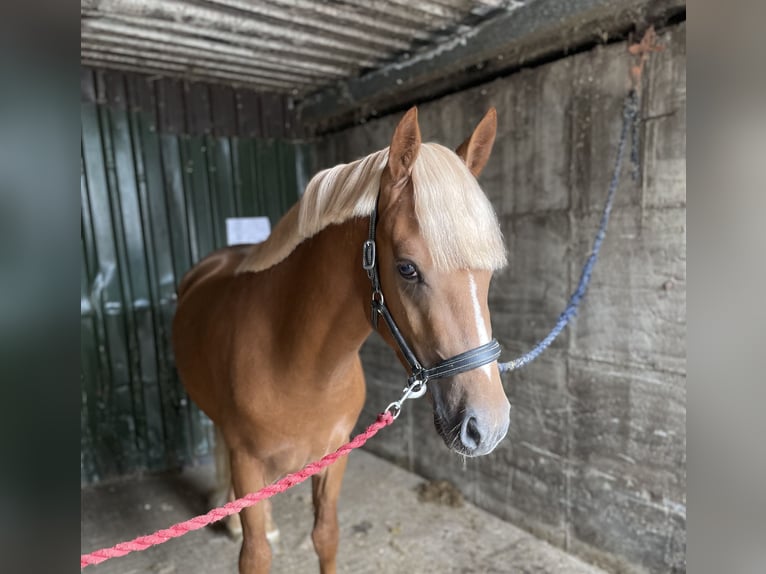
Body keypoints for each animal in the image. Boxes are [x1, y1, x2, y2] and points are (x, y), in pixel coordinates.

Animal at [172, 106, 510, 572]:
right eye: (407, 268)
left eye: (489, 273)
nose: (488, 426)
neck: (296, 362)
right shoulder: (247, 462)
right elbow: (256, 554)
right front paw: (245, 528)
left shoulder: (335, 456)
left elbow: (326, 535)